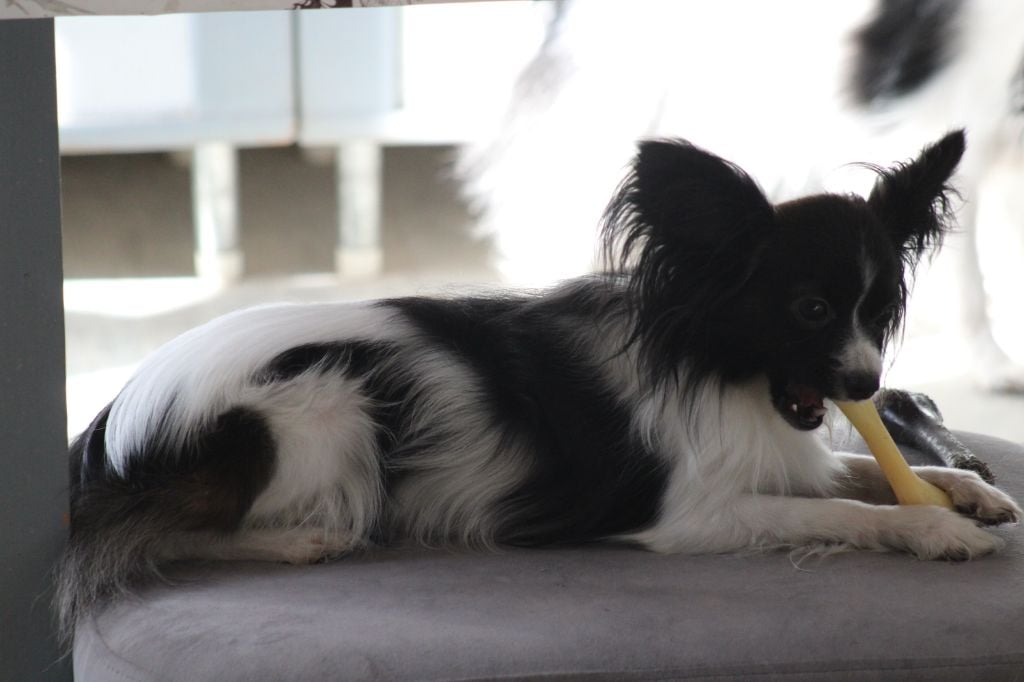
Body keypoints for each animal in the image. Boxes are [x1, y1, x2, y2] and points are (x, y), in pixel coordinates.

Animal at [56, 131, 1021, 648]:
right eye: (811, 310)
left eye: (881, 311)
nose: (867, 381)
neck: (725, 371)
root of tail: (108, 430)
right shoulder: (695, 516)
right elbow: (851, 510)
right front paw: (935, 531)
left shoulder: (783, 458)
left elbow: (867, 474)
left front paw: (964, 489)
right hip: (327, 409)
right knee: (165, 536)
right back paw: (301, 541)